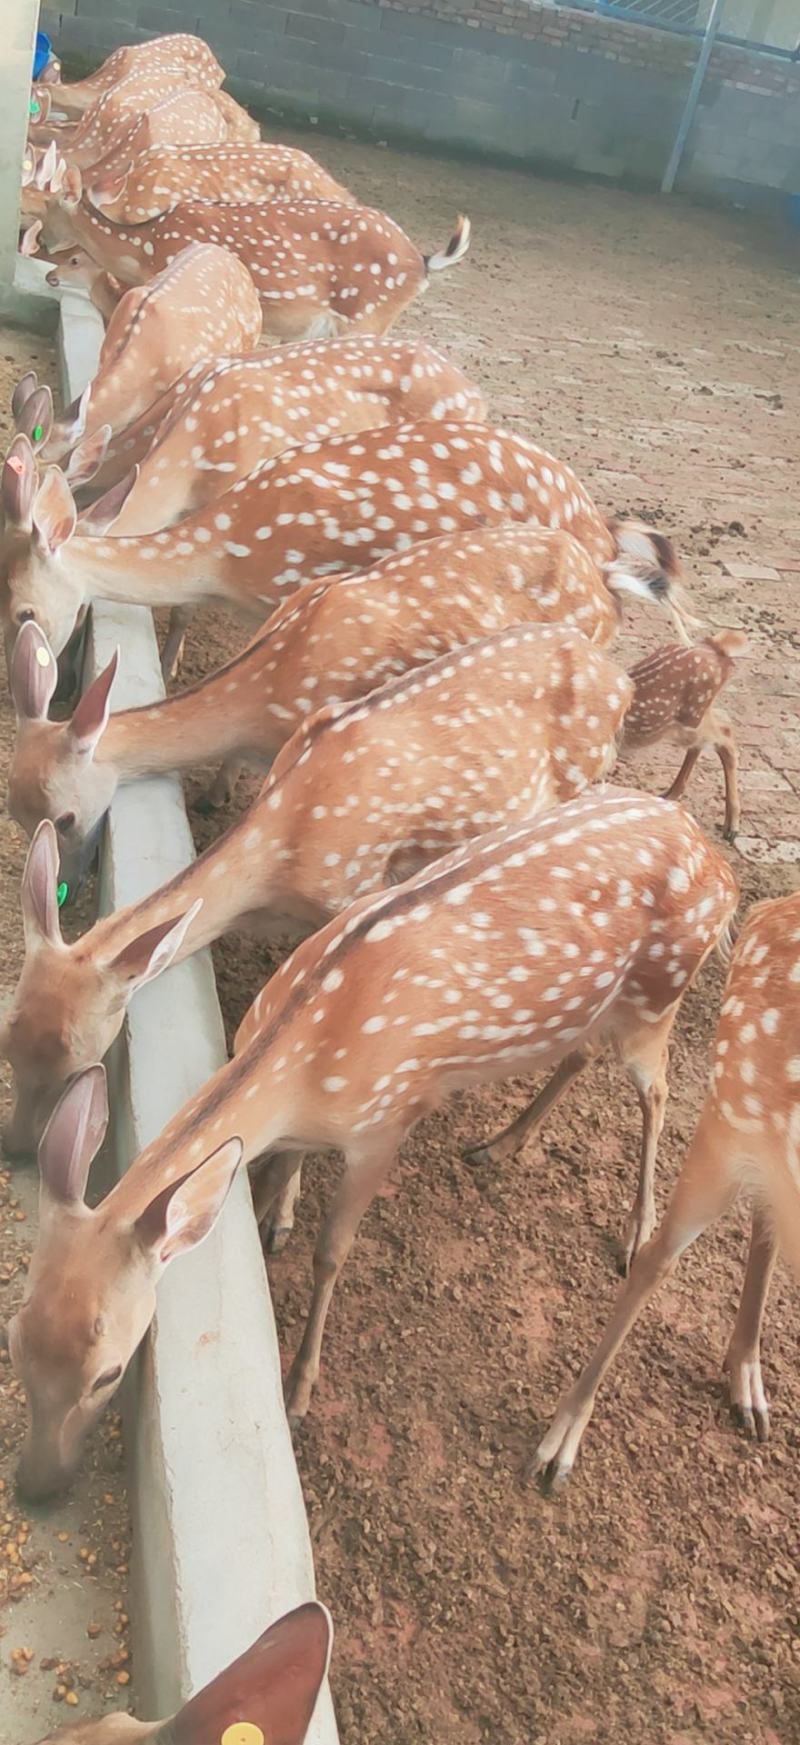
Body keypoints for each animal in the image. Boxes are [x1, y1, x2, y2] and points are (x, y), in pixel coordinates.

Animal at [2, 623, 633, 1156]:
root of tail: (621, 679)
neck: (282, 854)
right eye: (7, 1035)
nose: (17, 1149)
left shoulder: (354, 891)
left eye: (79, 1063)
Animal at [4, 790, 738, 1498]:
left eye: (109, 1371)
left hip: (658, 998)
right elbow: (278, 1176)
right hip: (600, 1007)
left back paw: (636, 1232)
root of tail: (721, 868)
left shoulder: (386, 1120)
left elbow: (333, 1251)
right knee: (583, 1051)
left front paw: (299, 1389)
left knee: (659, 1090)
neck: (304, 1062)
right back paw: (500, 1145)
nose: (37, 1485)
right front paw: (270, 1226)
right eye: (13, 1337)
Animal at [6, 526, 699, 866]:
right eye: (16, 815)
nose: (66, 880)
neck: (268, 692)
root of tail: (605, 581)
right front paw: (210, 796)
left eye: (64, 818)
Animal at [620, 630, 748, 841]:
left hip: (691, 719)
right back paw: (670, 794)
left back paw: (732, 826)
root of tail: (718, 648)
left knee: (725, 735)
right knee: (710, 739)